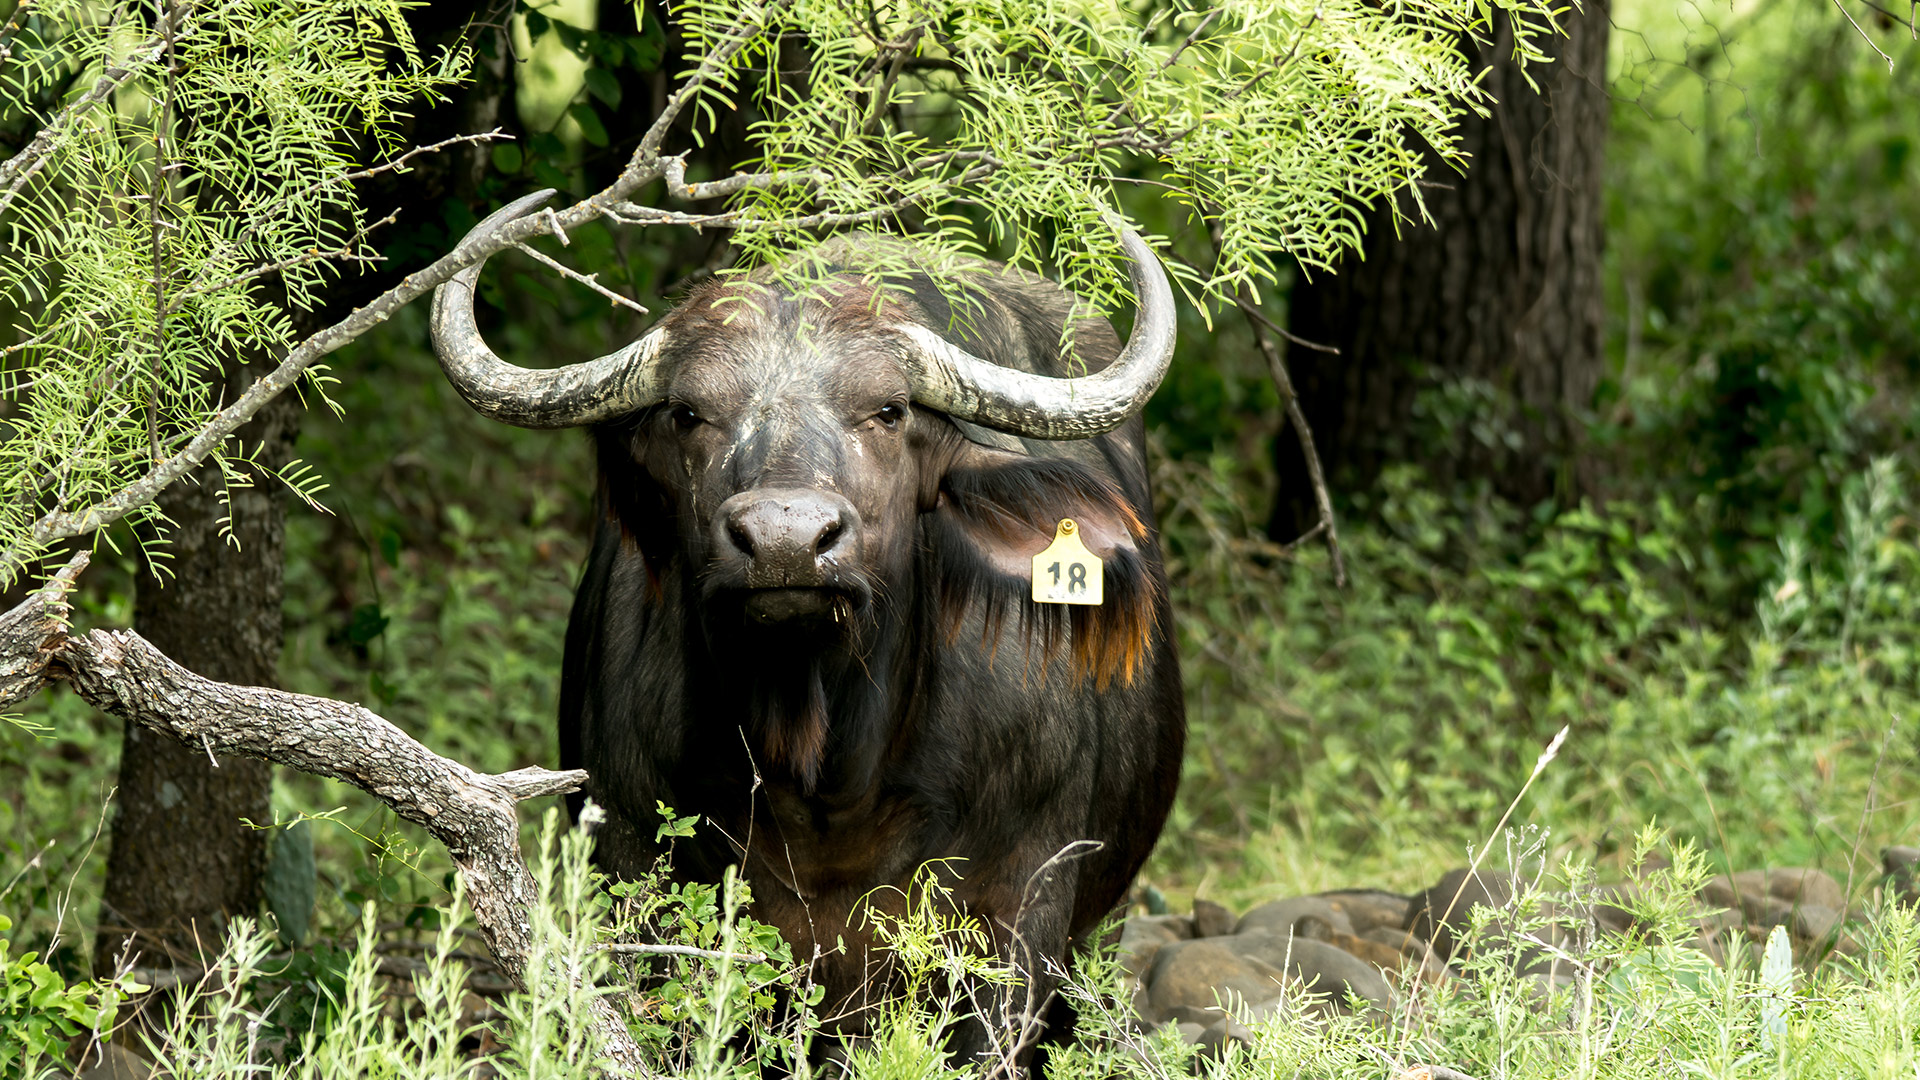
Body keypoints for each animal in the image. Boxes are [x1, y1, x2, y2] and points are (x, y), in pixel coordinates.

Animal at [430, 192, 1186, 1066]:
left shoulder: (1021, 911)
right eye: (688, 412)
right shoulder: (633, 873)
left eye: (889, 410)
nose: (785, 540)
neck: (827, 774)